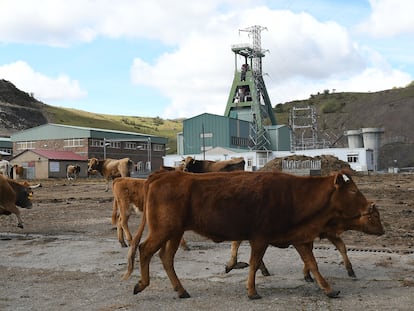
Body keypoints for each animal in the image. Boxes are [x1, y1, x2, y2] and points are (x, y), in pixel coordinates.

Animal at [124, 171, 384, 300]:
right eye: (353, 190)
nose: (368, 207)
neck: (295, 195)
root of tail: (160, 176)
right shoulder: (260, 238)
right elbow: (254, 263)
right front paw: (252, 291)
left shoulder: (299, 239)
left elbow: (313, 264)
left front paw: (329, 289)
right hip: (163, 230)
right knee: (145, 250)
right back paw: (142, 284)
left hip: (174, 233)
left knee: (166, 258)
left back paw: (181, 290)